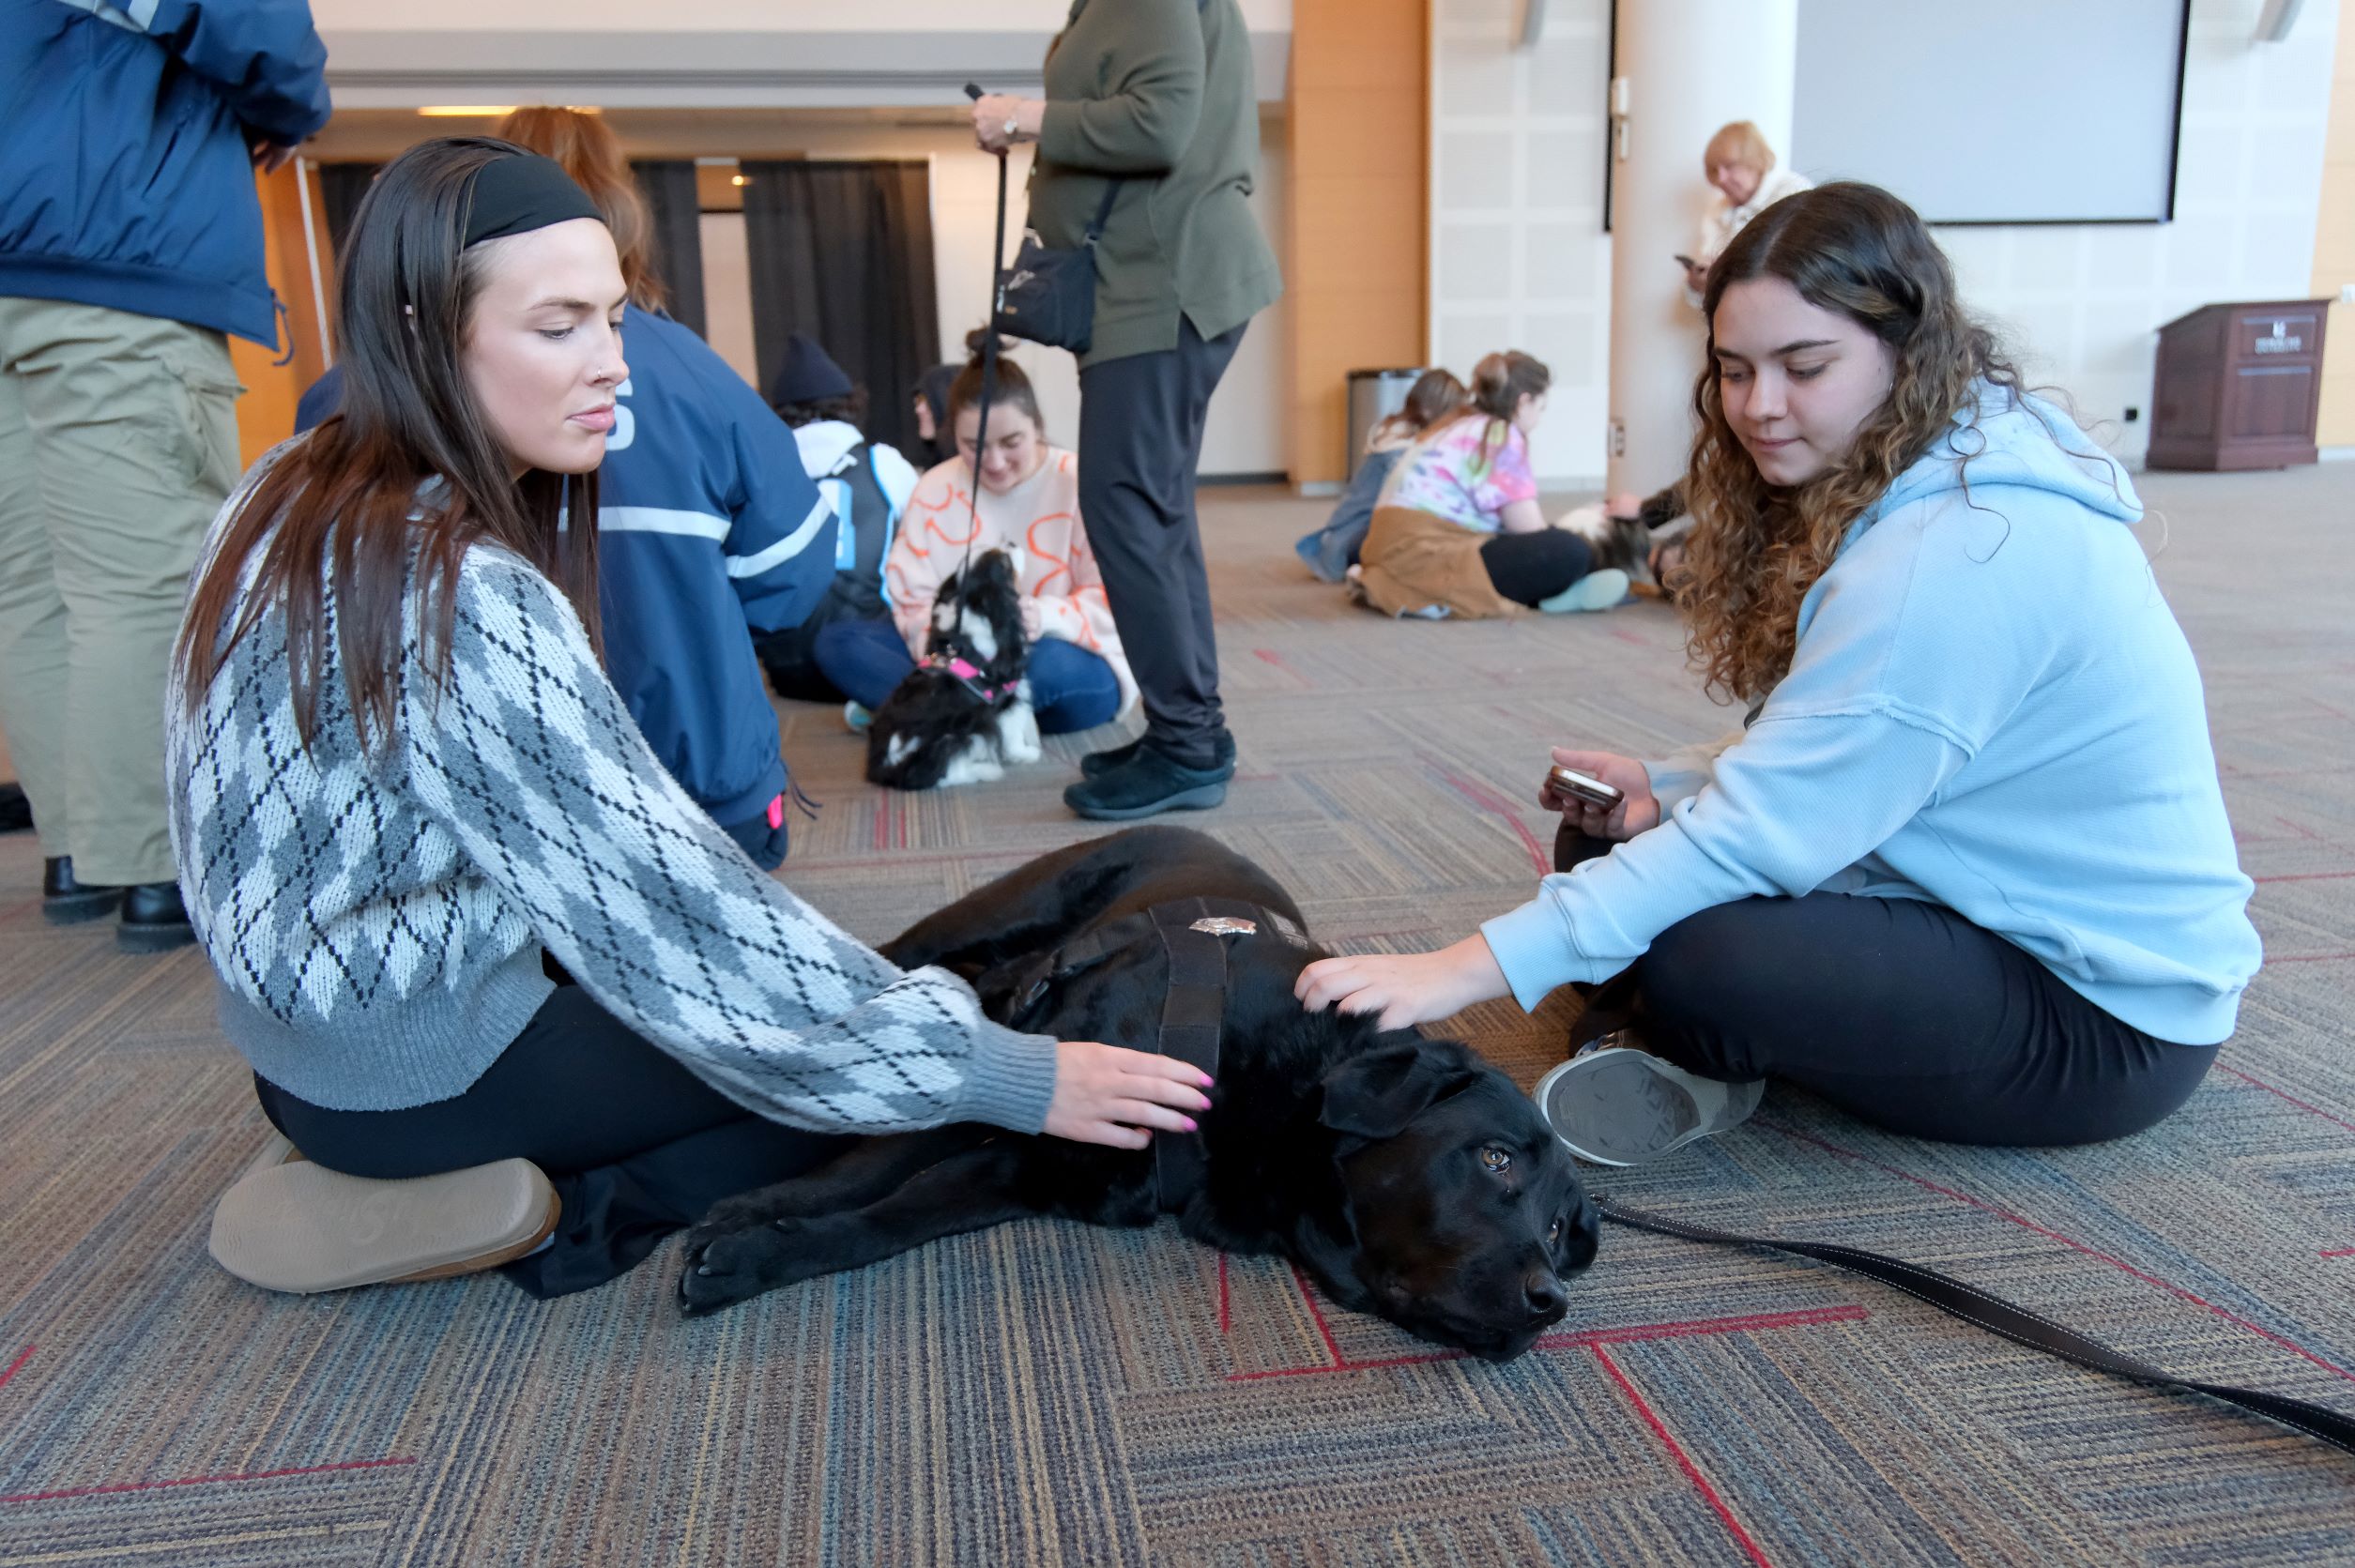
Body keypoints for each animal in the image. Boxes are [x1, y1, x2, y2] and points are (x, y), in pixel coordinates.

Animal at [866, 548, 1040, 796]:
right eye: (1005, 562)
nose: (1013, 543)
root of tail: (889, 763)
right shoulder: (1008, 702)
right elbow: (1013, 734)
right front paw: (1026, 754)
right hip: (960, 733)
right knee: (948, 773)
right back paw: (985, 770)